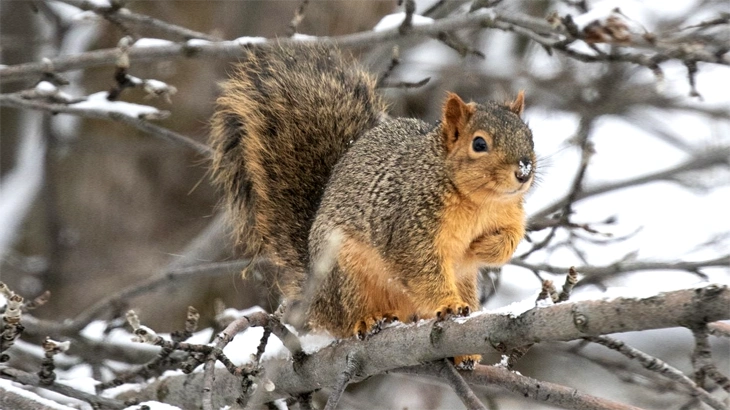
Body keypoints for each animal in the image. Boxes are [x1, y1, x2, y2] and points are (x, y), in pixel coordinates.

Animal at [210, 43, 535, 368]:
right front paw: (449, 304)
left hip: (463, 281)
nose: (524, 171)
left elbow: (510, 240)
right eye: (479, 144)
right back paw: (368, 320)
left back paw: (463, 351)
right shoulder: (409, 225)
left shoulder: (510, 214)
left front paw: (481, 247)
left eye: (529, 135)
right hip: (347, 272)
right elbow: (420, 267)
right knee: (348, 318)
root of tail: (319, 302)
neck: (480, 202)